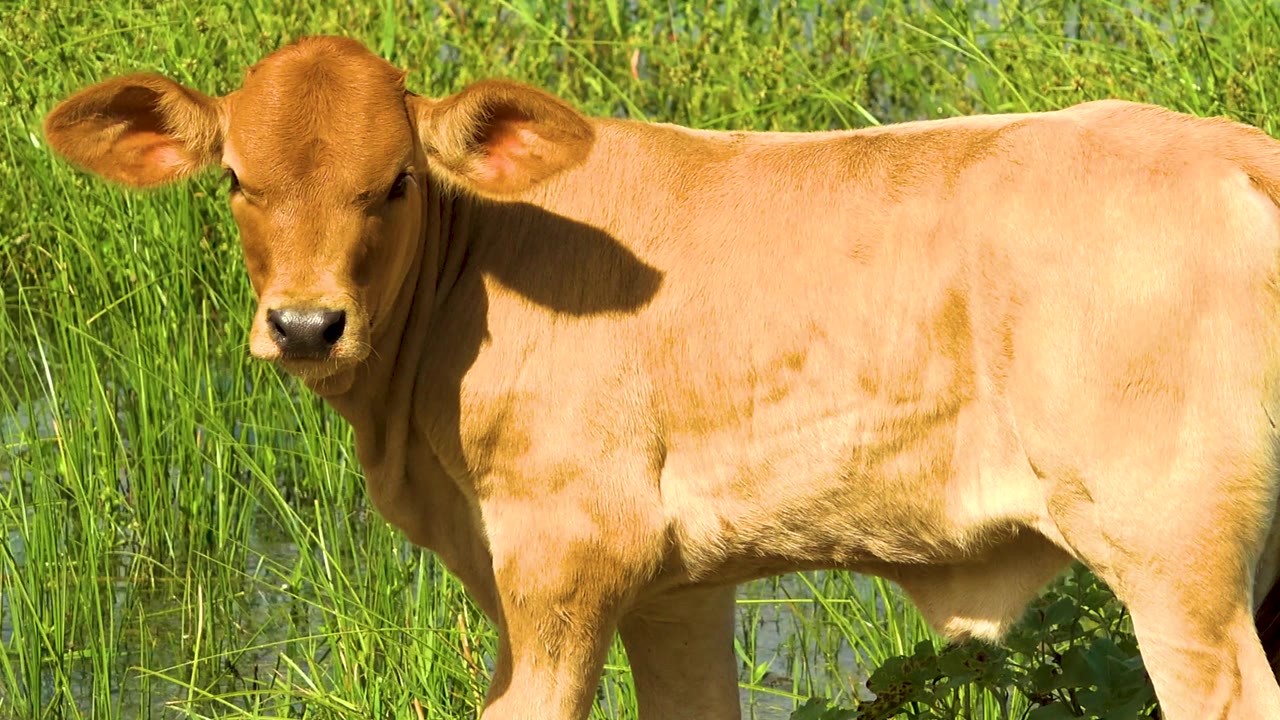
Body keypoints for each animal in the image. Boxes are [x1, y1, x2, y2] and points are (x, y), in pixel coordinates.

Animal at [43, 35, 1280, 719]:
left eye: (393, 181)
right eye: (237, 179)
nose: (305, 325)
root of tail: (1227, 147)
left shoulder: (564, 557)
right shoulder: (677, 586)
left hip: (1173, 558)